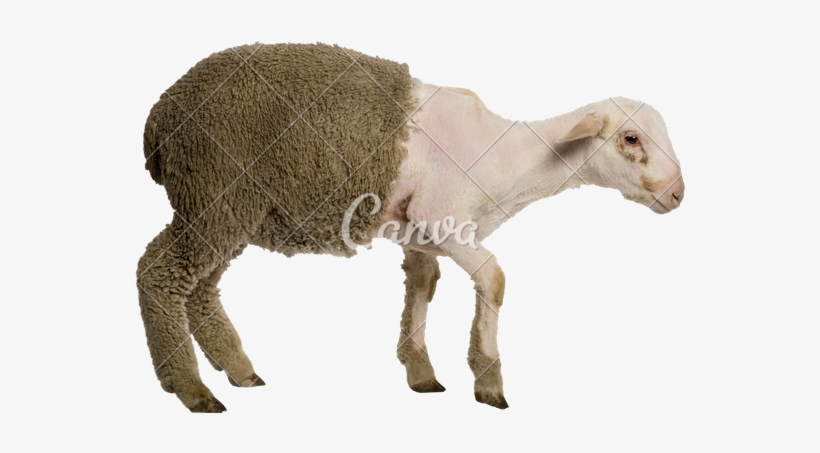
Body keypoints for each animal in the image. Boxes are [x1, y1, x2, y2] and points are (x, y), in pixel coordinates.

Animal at [138, 43, 685, 413]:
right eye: (631, 139)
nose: (679, 194)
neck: (507, 159)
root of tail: (159, 117)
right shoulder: (443, 219)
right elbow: (494, 278)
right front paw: (488, 381)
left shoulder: (420, 233)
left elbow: (423, 285)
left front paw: (420, 371)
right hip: (212, 192)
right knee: (158, 273)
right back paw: (191, 388)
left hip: (226, 210)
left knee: (201, 289)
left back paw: (237, 369)